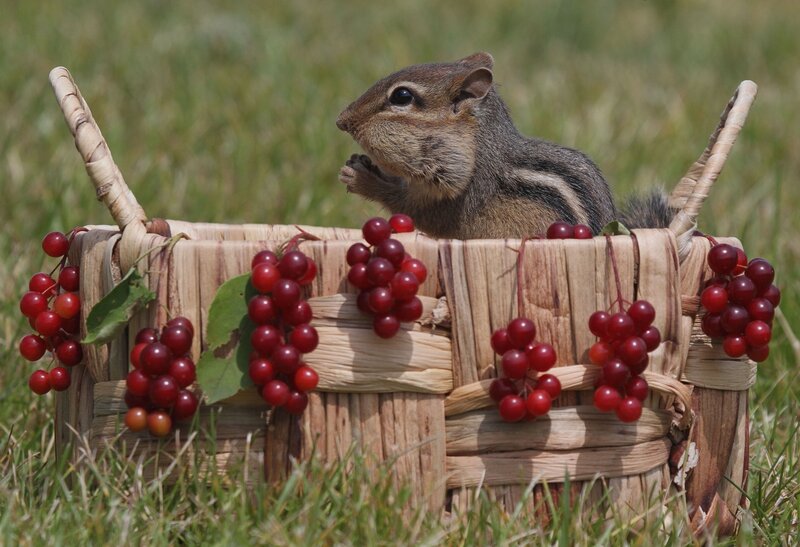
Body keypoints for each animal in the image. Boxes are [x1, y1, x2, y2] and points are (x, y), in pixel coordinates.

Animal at [336, 52, 674, 238]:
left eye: (402, 96)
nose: (341, 120)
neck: (479, 145)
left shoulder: (465, 191)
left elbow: (420, 211)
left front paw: (362, 179)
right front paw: (362, 164)